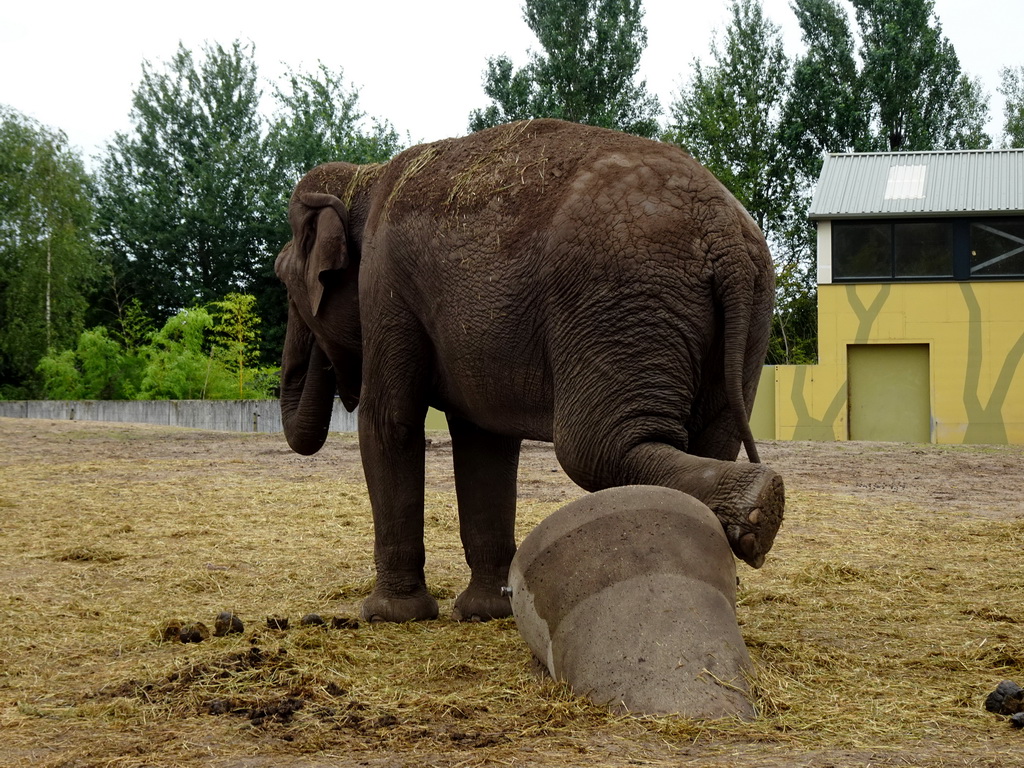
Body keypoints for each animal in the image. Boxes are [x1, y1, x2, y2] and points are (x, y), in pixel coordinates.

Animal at [274, 118, 782, 626]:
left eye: (282, 279)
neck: (366, 176)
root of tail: (724, 232)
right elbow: (483, 440)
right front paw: (486, 611)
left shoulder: (384, 283)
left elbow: (389, 421)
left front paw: (390, 615)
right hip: (744, 315)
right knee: (707, 442)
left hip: (620, 302)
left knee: (594, 447)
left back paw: (760, 505)